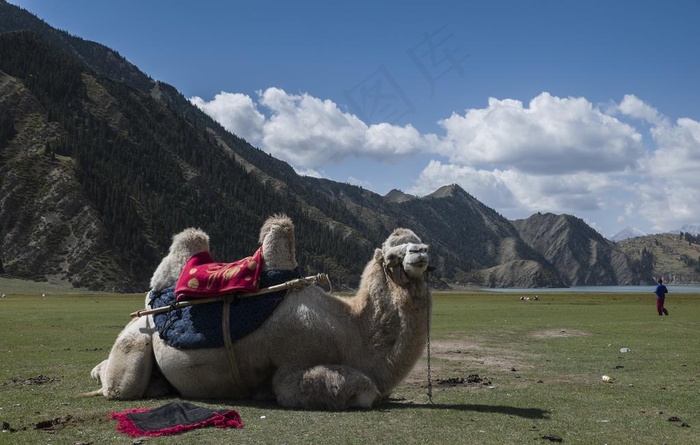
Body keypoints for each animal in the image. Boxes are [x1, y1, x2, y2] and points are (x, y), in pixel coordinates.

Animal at [89, 214, 432, 410]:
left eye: (418, 242)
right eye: (392, 249)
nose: (421, 252)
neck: (351, 331)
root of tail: (152, 297)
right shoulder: (292, 370)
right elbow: (365, 389)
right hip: (137, 337)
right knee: (121, 386)